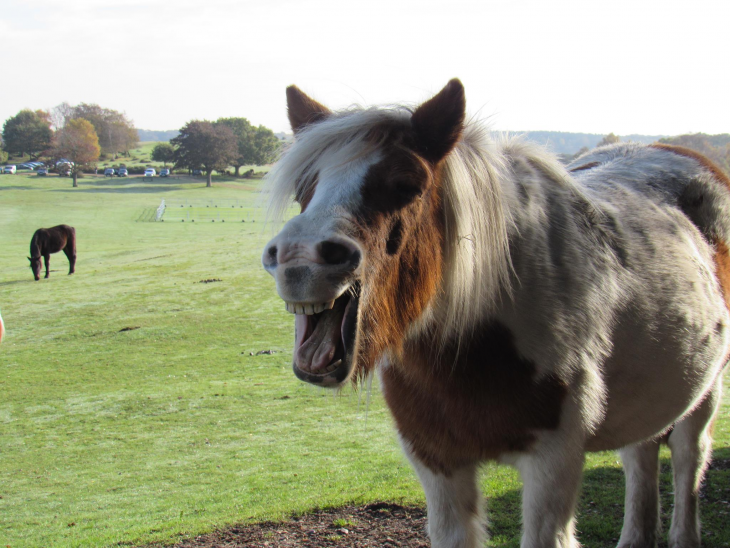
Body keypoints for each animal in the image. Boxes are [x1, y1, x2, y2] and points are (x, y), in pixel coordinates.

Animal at [258, 78, 724, 548]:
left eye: (406, 183)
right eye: (303, 187)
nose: (300, 259)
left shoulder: (553, 463)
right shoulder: (437, 462)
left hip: (705, 393)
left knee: (689, 458)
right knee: (641, 454)